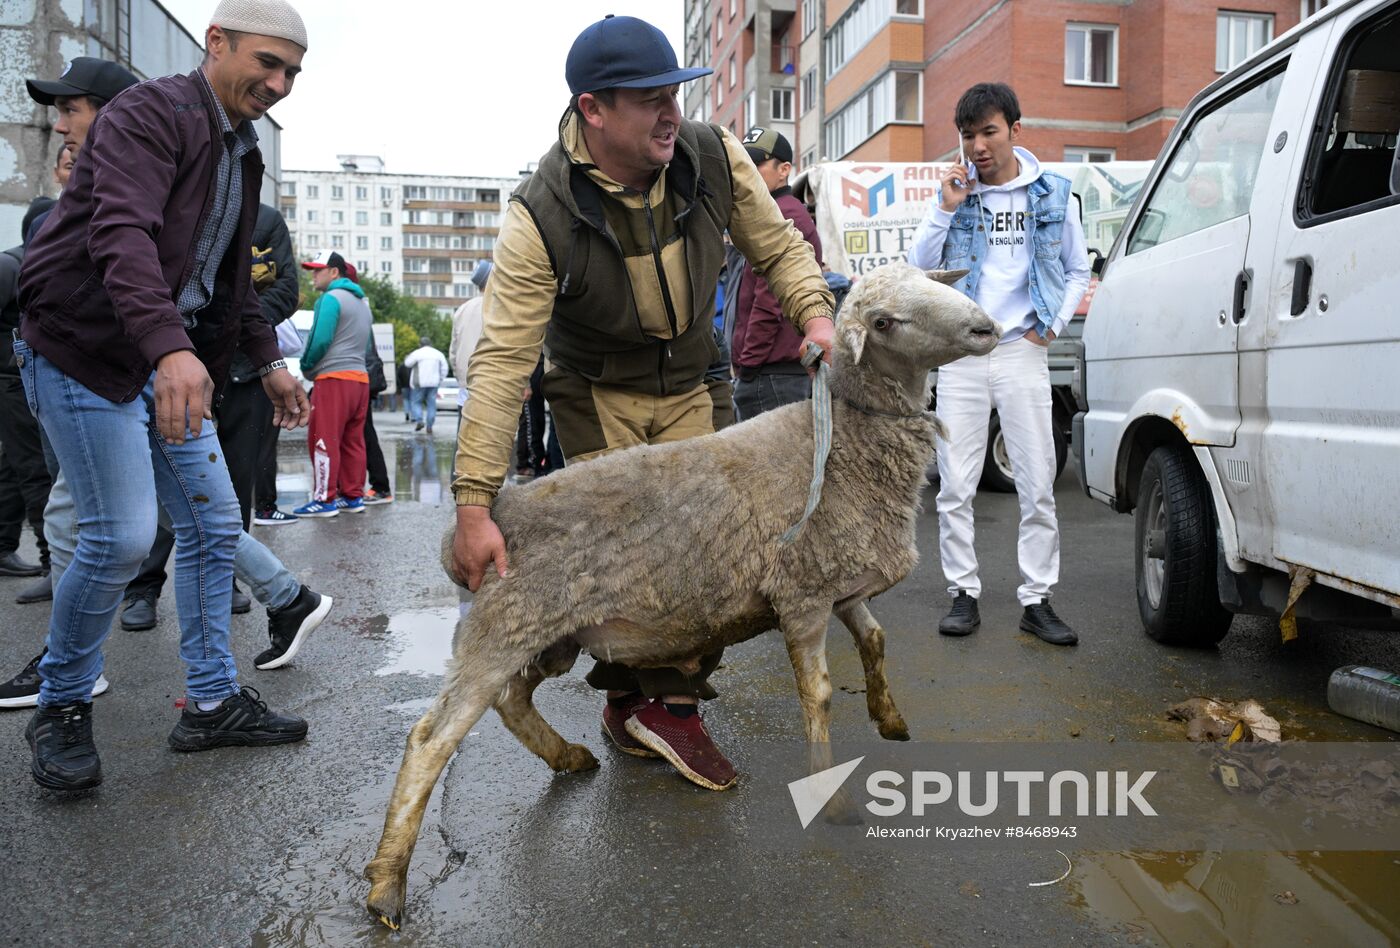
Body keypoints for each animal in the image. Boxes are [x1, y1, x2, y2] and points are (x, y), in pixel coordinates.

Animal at [361, 261, 996, 929]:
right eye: (883, 322)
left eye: (931, 281)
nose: (986, 328)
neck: (841, 439)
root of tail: (495, 512)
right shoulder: (801, 593)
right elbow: (819, 696)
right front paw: (831, 794)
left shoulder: (840, 583)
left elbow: (875, 639)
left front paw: (890, 718)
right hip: (506, 626)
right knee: (431, 740)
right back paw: (387, 885)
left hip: (551, 634)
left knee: (512, 700)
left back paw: (567, 756)